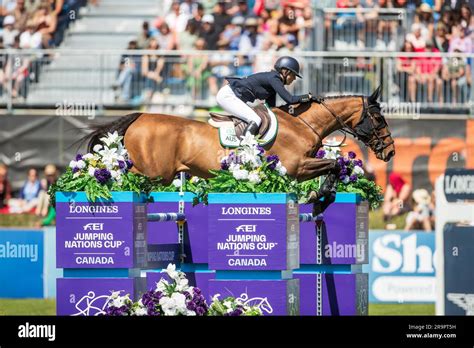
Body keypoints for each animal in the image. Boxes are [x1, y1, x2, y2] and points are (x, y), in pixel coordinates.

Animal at [86, 85, 396, 186]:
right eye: (379, 118)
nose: (390, 151)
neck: (303, 124)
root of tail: (140, 116)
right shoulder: (295, 167)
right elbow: (332, 164)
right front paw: (320, 195)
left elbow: (334, 165)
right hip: (154, 172)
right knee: (122, 174)